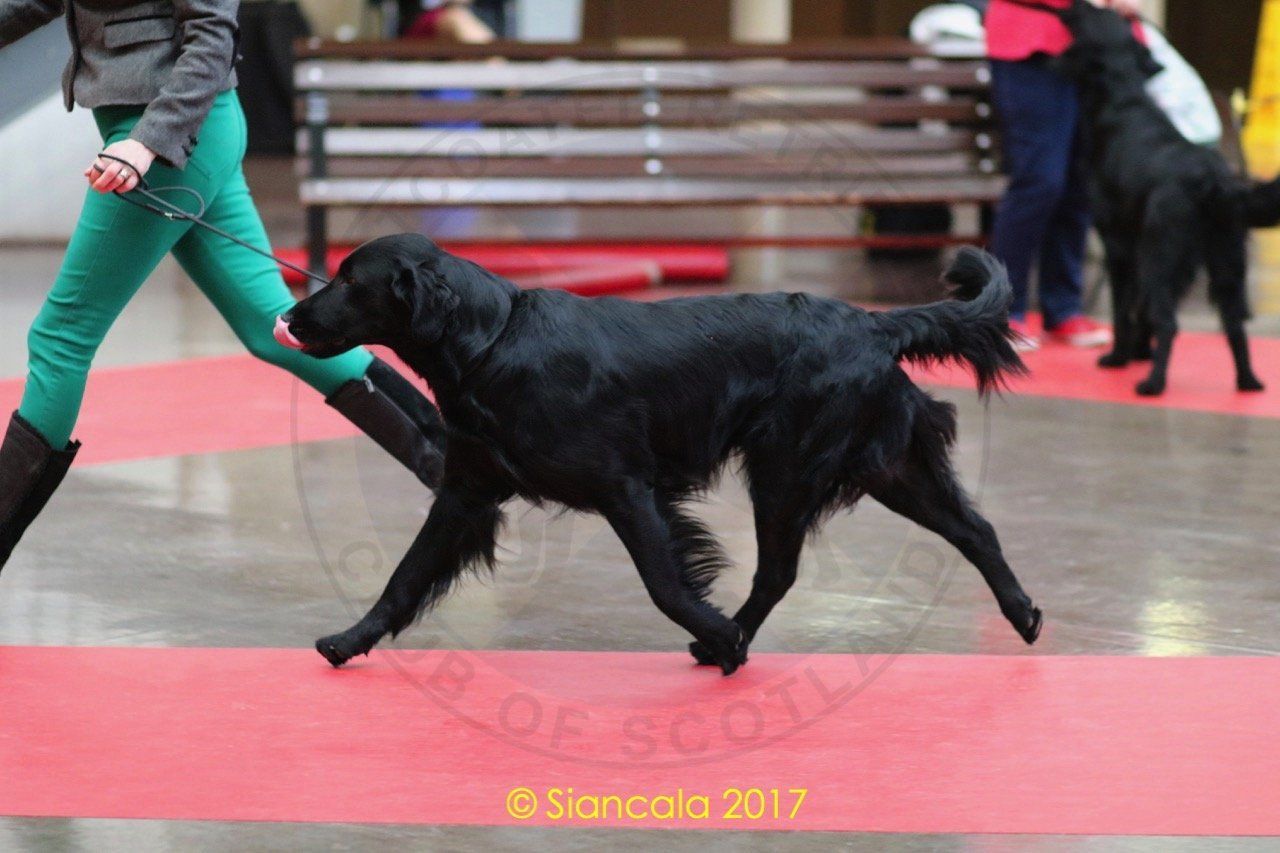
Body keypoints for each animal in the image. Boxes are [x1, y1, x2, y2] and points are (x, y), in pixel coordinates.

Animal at [276, 236, 1041, 674]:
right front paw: (348, 639)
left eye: (350, 281)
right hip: (884, 463)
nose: (290, 316)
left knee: (781, 569)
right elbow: (404, 577)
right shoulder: (467, 491)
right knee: (975, 528)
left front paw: (719, 636)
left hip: (788, 466)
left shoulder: (627, 487)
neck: (495, 341)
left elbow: (665, 582)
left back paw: (727, 640)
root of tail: (874, 322)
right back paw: (1024, 612)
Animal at [1056, 0, 1279, 395]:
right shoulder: (1141, 248)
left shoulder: (1121, 244)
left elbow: (1125, 308)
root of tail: (1213, 180)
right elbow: (1141, 309)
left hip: (1162, 256)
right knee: (1235, 326)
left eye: (1091, 17)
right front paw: (1140, 352)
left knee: (1170, 321)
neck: (1122, 97)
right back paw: (1248, 382)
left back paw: (1153, 383)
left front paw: (1121, 357)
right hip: (1226, 262)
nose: (1079, 4)